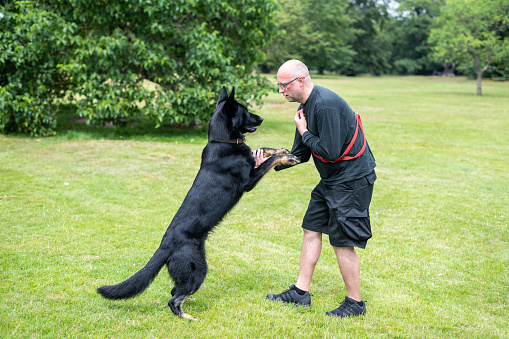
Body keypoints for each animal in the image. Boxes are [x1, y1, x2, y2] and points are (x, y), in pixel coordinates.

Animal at [97, 87, 300, 322]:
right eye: (246, 110)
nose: (261, 118)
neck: (222, 140)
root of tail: (164, 246)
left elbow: (264, 150)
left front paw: (281, 149)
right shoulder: (249, 180)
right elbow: (268, 162)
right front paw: (287, 157)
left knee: (175, 291)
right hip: (198, 270)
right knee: (174, 299)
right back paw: (188, 317)